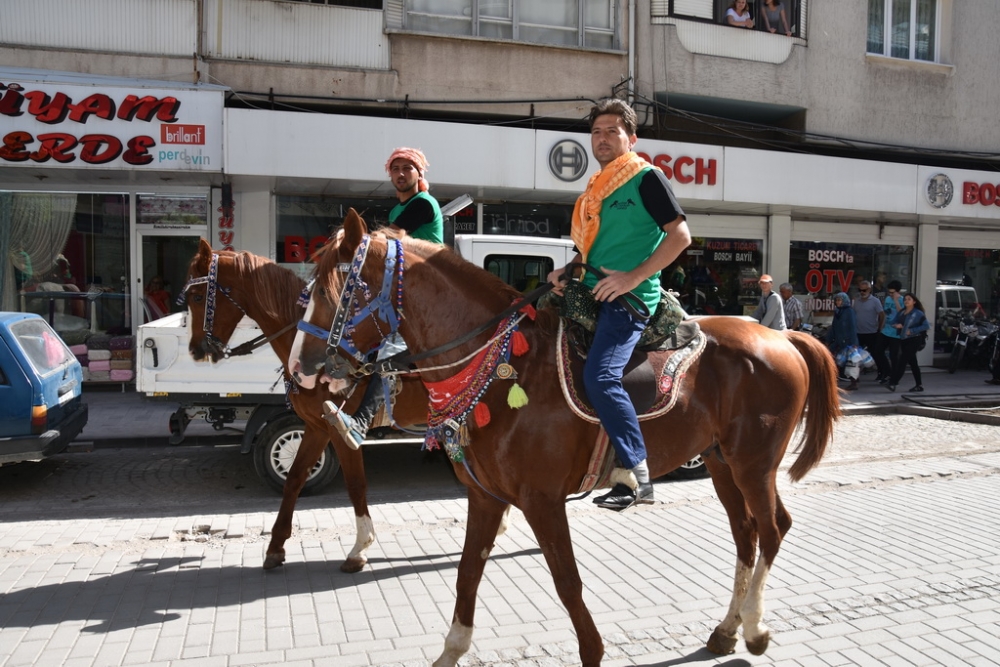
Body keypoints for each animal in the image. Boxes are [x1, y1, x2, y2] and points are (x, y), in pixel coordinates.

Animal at [182, 240, 432, 576]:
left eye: (197, 297)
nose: (195, 350)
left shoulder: (340, 430)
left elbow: (356, 484)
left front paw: (359, 548)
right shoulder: (316, 427)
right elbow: (294, 478)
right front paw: (275, 548)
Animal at [290, 211, 844, 664]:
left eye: (340, 289)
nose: (299, 367)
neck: (503, 366)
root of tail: (782, 336)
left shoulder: (542, 499)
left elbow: (567, 582)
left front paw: (592, 651)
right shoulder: (485, 497)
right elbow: (468, 571)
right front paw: (451, 650)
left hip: (754, 463)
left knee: (772, 529)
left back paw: (754, 630)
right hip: (721, 461)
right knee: (746, 535)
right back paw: (727, 629)